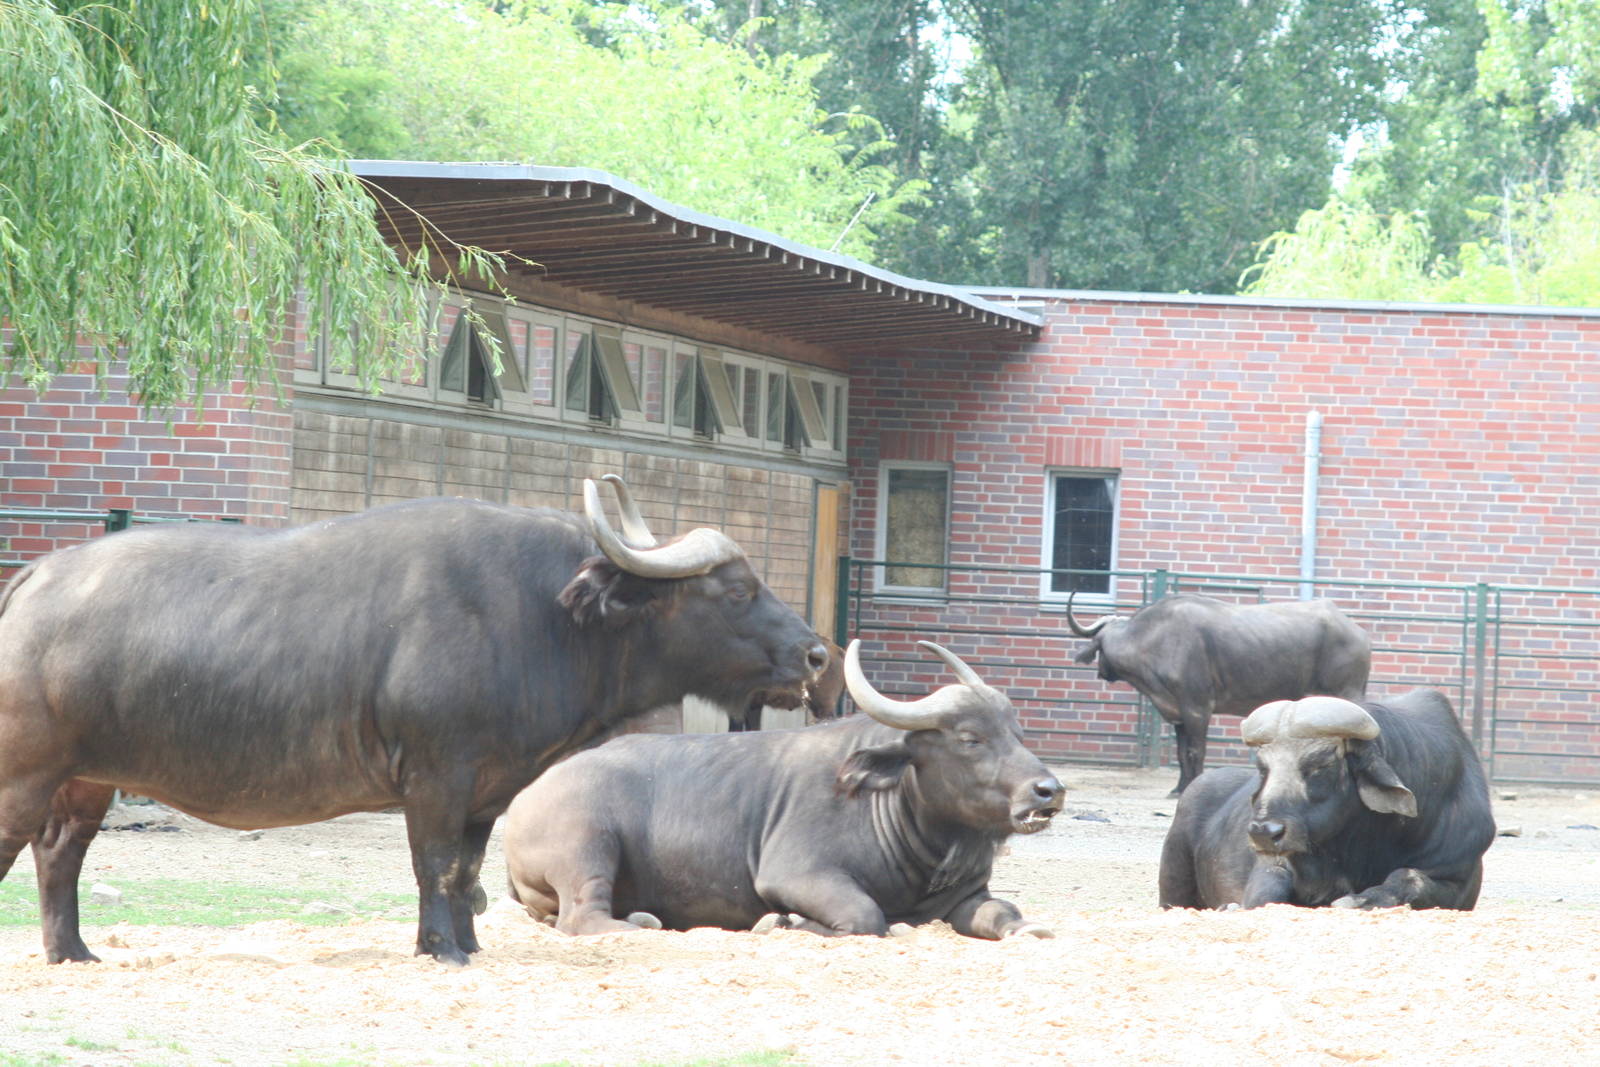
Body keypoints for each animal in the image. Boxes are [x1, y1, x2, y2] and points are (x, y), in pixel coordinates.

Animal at [0, 475, 824, 965]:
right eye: (737, 589)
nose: (816, 654)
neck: (542, 615)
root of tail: (36, 577)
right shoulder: (436, 774)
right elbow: (433, 863)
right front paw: (441, 949)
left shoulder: (487, 791)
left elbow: (464, 871)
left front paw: (466, 943)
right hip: (25, 773)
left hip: (86, 779)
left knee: (60, 853)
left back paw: (72, 952)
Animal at [503, 639, 1062, 939]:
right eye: (970, 738)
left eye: (1017, 731)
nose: (1048, 791)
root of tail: (525, 800)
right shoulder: (796, 873)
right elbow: (866, 915)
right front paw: (785, 923)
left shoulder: (968, 895)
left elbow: (1005, 912)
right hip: (587, 846)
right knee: (581, 916)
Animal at [1067, 593, 1371, 793]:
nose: (1102, 672)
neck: (1156, 638)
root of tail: (1357, 633)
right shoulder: (1179, 714)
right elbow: (1180, 753)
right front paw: (1178, 788)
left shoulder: (1197, 709)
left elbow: (1195, 752)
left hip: (1346, 697)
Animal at [1157, 689, 1495, 910]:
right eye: (1263, 767)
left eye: (1321, 763)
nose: (1264, 832)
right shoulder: (1276, 865)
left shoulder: (1456, 877)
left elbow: (1409, 877)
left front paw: (1361, 899)